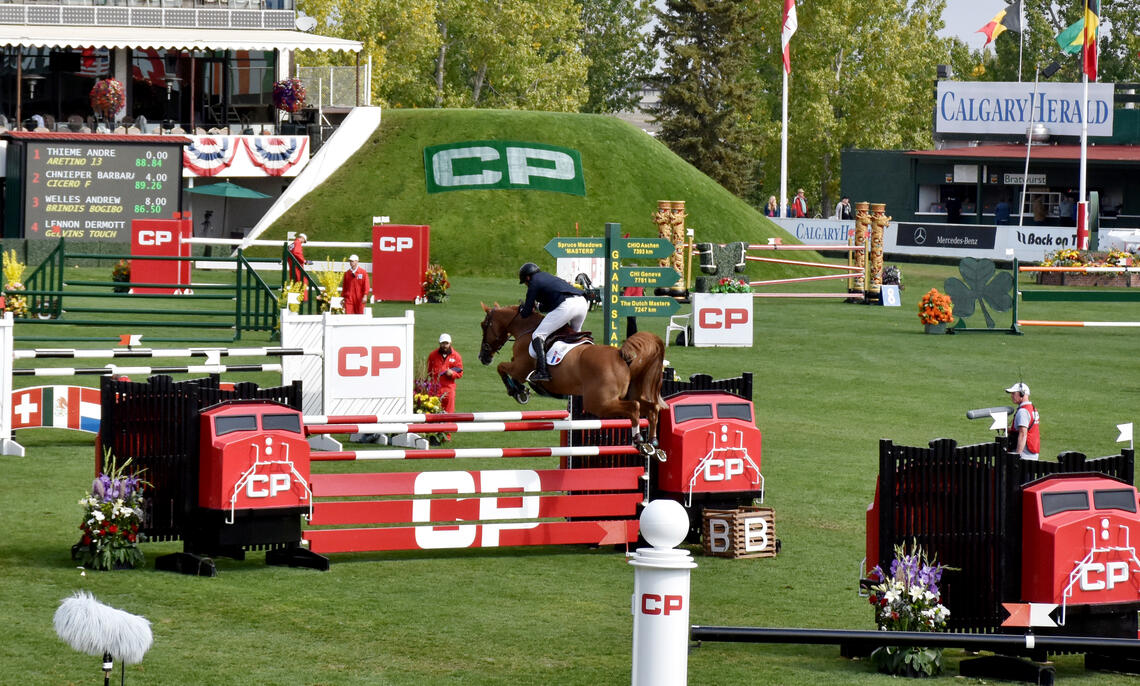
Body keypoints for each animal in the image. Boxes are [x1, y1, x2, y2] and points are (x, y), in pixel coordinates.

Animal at [474, 300, 665, 446]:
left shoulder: (520, 368)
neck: (526, 329)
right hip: (624, 396)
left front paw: (517, 391)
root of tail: (622, 355)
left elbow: (502, 368)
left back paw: (639, 441)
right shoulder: (518, 368)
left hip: (599, 403)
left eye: (484, 325)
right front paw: (521, 391)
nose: (483, 357)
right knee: (652, 407)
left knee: (634, 408)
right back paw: (653, 444)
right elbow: (507, 371)